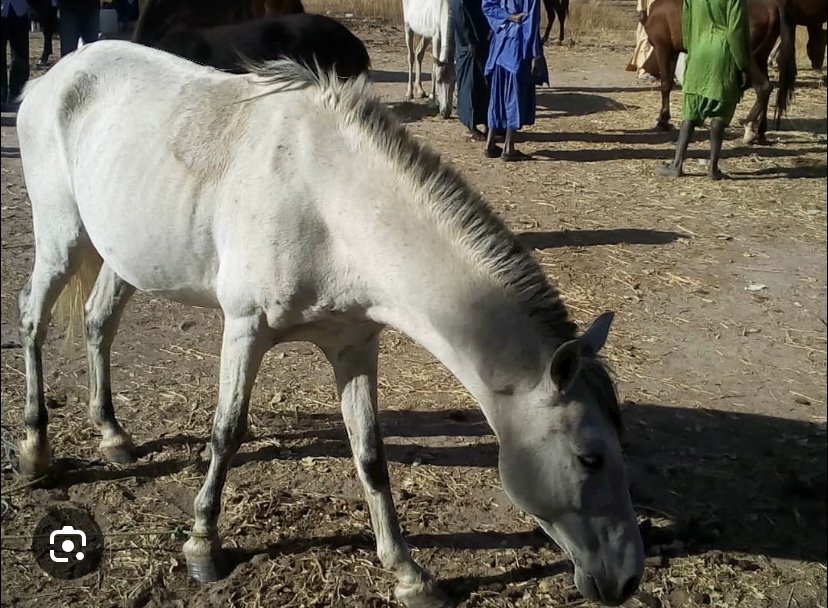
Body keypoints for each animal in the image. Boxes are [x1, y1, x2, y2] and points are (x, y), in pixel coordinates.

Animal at [16, 40, 644, 608]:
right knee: (32, 321)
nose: (628, 578)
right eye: (590, 457)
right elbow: (226, 432)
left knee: (98, 322)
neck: (326, 203)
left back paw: (113, 436)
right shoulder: (244, 329)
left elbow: (370, 455)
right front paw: (202, 547)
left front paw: (409, 575)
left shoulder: (355, 347)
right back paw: (36, 452)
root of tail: (56, 76)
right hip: (62, 238)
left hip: (121, 256)